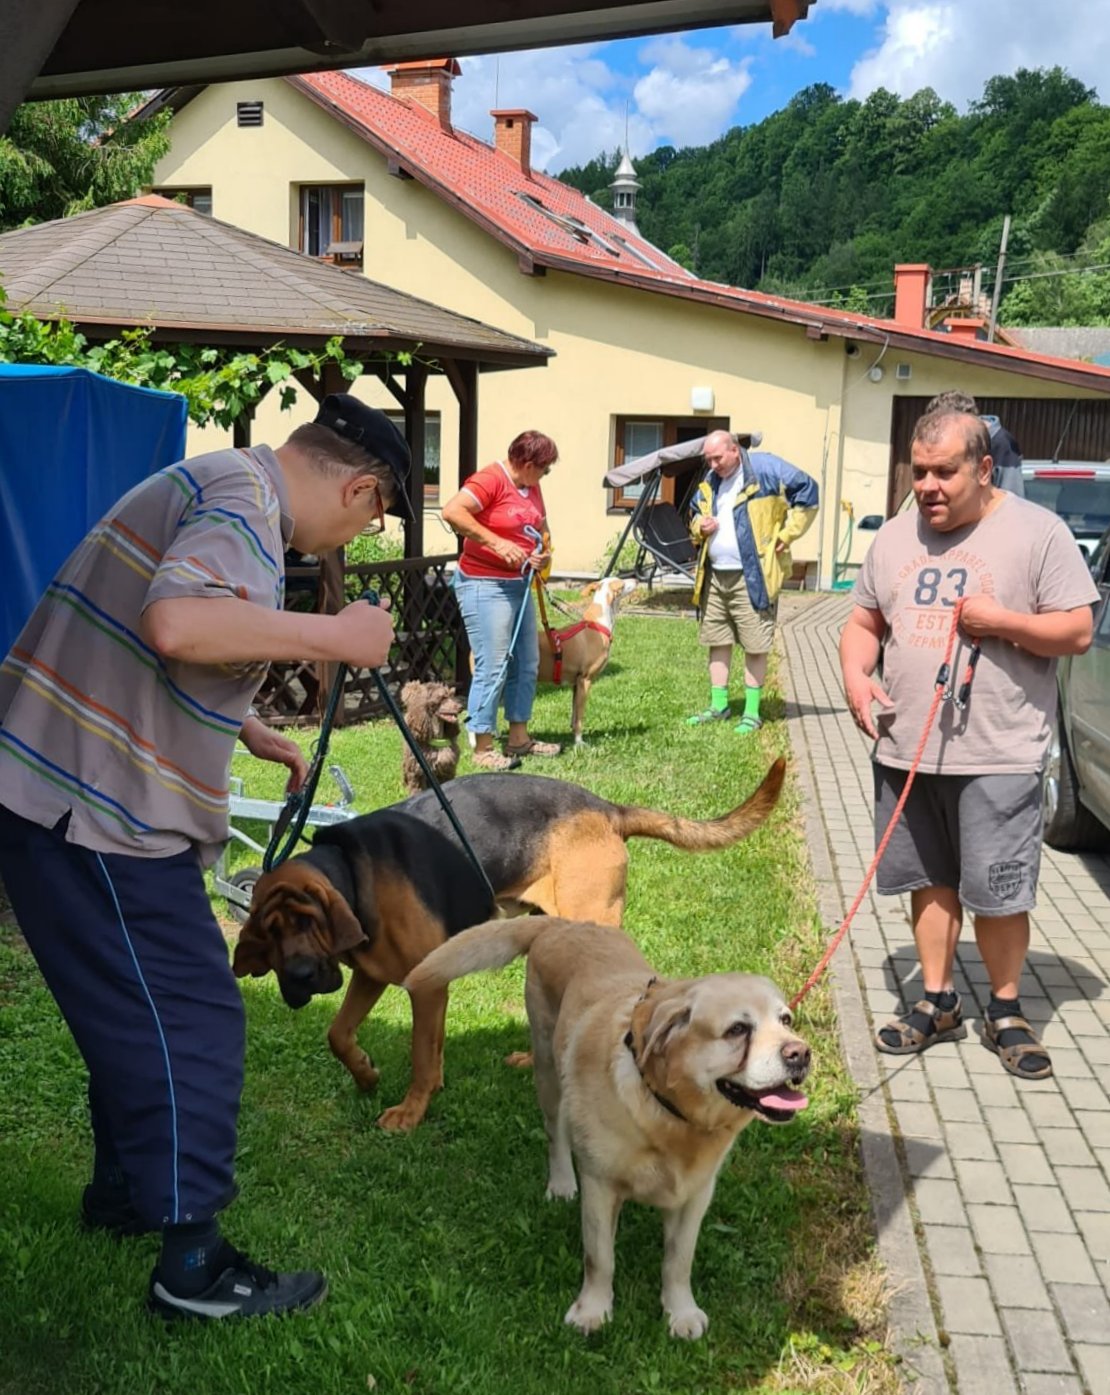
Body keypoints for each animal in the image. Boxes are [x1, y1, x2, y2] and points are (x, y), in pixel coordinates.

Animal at [233, 760, 785, 1132]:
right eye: (270, 932)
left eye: (308, 921)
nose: (299, 979)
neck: (351, 875)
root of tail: (606, 809)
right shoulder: (371, 973)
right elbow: (339, 1034)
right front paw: (366, 1074)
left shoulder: (426, 986)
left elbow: (421, 1055)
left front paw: (412, 1110)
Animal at [406, 915, 811, 1339]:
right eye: (737, 1030)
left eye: (786, 1020)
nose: (800, 1053)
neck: (666, 1114)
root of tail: (562, 923)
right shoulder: (600, 1187)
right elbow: (599, 1258)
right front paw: (593, 1311)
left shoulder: (695, 1196)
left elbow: (678, 1261)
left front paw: (680, 1312)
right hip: (547, 1068)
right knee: (555, 1133)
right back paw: (561, 1183)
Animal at [537, 576, 638, 745]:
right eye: (622, 583)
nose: (636, 580)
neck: (598, 622)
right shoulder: (585, 680)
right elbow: (580, 717)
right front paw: (579, 742)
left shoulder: (576, 683)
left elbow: (574, 715)